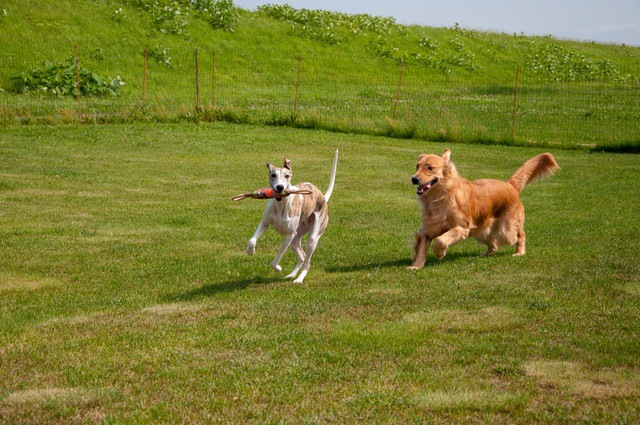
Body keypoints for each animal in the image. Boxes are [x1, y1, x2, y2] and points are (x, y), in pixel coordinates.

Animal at [245, 149, 338, 282]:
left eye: (287, 176)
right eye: (273, 175)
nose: (280, 187)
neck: (280, 205)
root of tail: (323, 198)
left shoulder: (289, 235)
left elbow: (275, 259)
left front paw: (278, 267)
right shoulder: (265, 223)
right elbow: (252, 240)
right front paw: (250, 251)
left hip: (312, 237)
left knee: (307, 261)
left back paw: (299, 279)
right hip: (296, 239)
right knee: (302, 257)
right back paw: (292, 274)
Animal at [412, 150, 556, 268]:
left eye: (430, 168)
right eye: (417, 166)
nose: (414, 179)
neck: (440, 197)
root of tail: (509, 184)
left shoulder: (463, 227)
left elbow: (440, 239)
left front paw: (439, 253)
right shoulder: (427, 230)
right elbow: (421, 249)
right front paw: (416, 266)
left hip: (507, 230)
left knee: (520, 235)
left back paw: (519, 253)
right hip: (482, 229)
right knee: (494, 244)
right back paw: (483, 255)